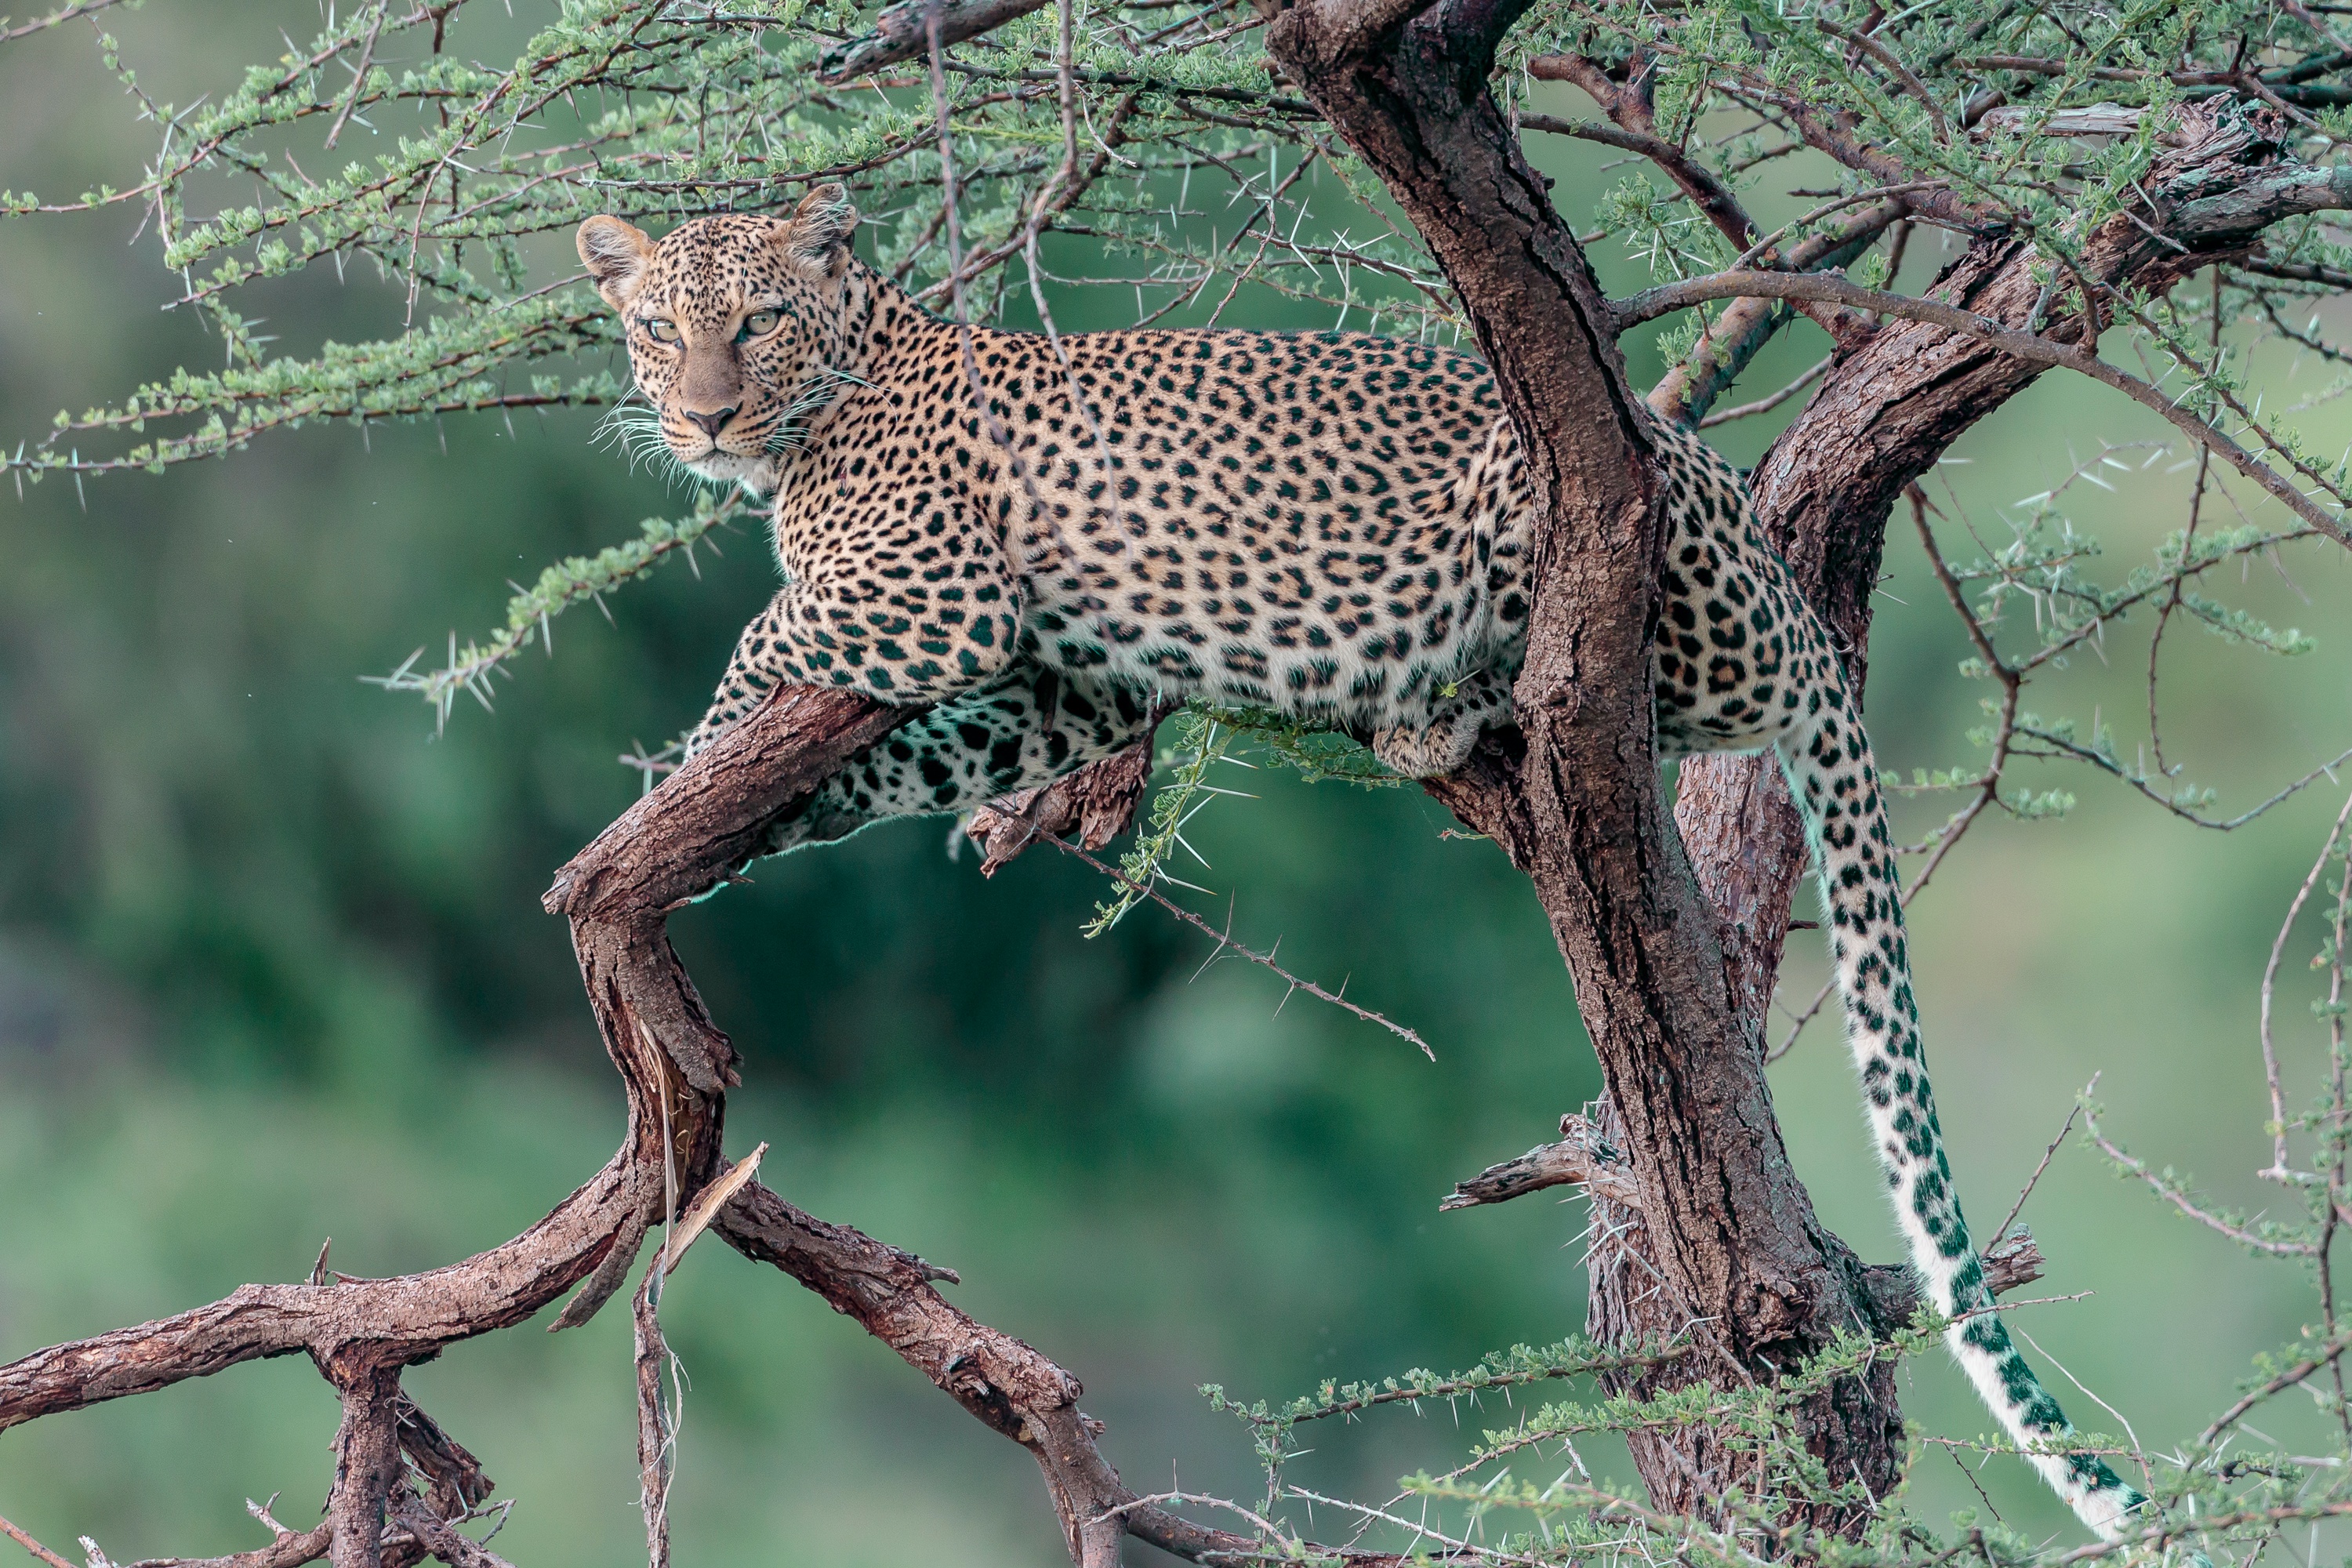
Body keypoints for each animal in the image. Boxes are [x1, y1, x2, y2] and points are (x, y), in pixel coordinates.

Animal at [574, 187, 2154, 1542]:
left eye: (757, 322)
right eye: (655, 325)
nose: (702, 416)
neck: (840, 384)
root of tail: (1786, 587)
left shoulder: (931, 597)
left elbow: (762, 634)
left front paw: (672, 782)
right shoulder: (1071, 690)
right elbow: (900, 753)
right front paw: (732, 830)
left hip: (1575, 512)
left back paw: (1436, 695)